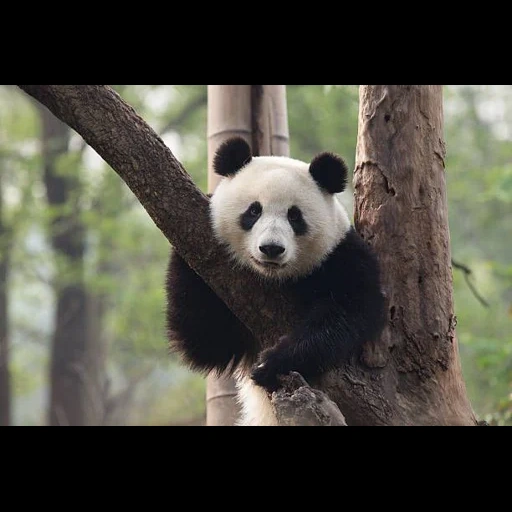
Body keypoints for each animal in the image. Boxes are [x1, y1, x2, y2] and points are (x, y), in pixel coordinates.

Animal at [166, 136, 386, 424]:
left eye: (294, 216)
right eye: (253, 211)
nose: (271, 248)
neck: (278, 279)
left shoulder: (341, 257)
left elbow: (350, 311)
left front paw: (274, 362)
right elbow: (205, 339)